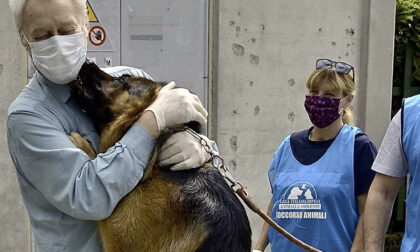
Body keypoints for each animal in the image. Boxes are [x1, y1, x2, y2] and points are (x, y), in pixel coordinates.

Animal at [68, 61, 251, 252]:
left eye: (123, 79)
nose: (88, 62)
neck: (161, 168)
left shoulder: (117, 238)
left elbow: (97, 159)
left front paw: (81, 144)